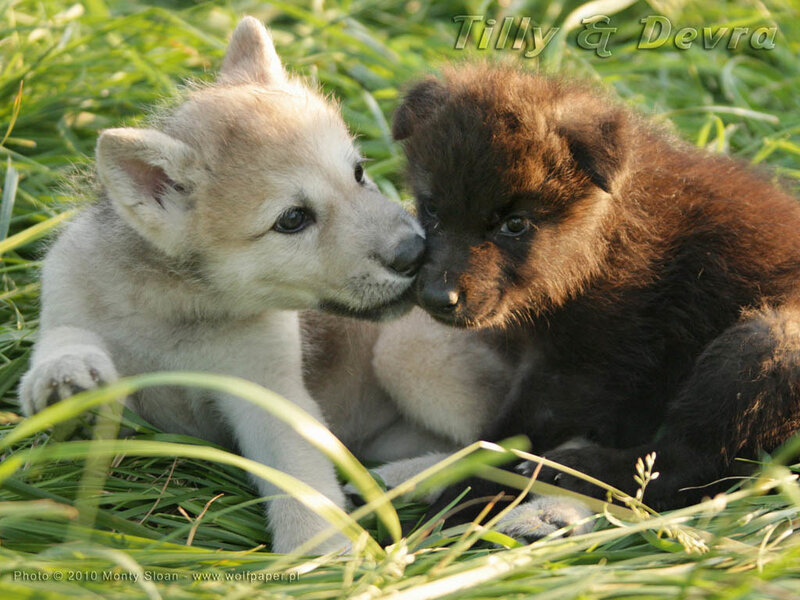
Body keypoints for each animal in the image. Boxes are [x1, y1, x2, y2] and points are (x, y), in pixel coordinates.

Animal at [18, 17, 433, 554]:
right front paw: (65, 382)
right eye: (292, 219)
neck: (177, 309)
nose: (415, 253)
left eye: (359, 173)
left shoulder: (268, 391)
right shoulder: (66, 301)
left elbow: (301, 484)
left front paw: (321, 556)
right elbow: (65, 342)